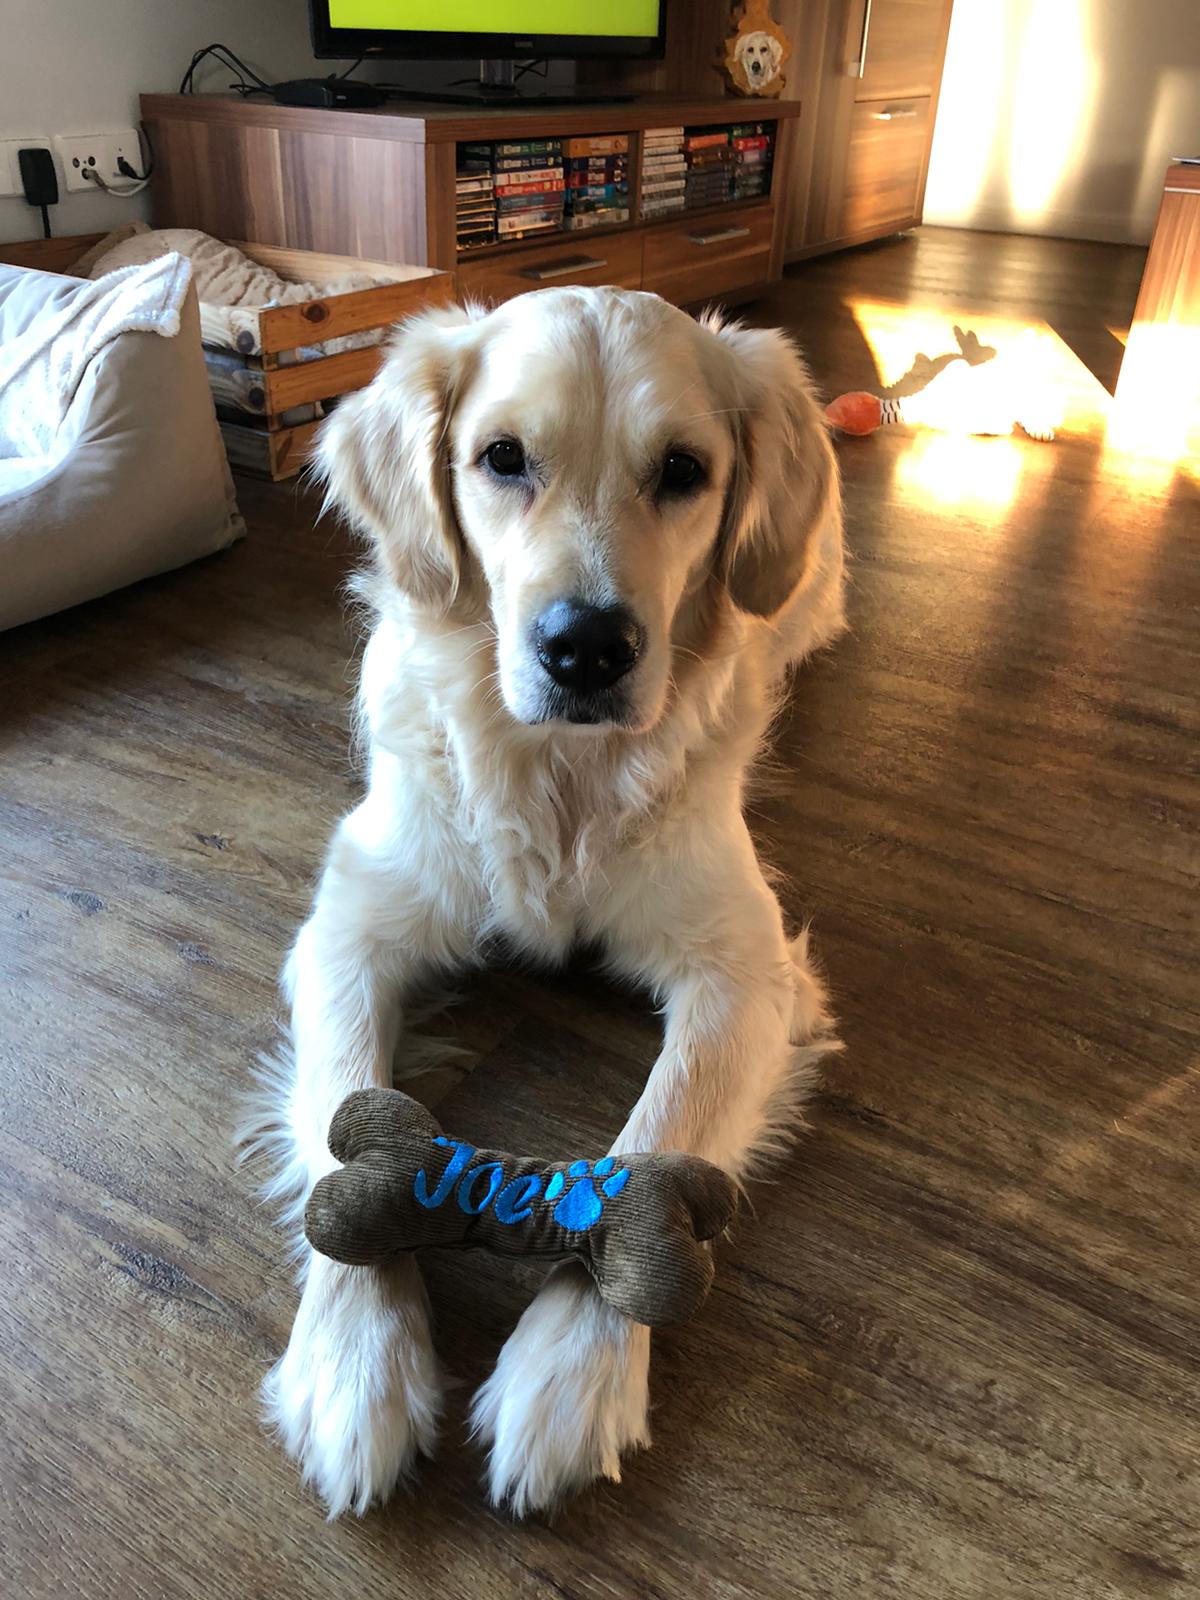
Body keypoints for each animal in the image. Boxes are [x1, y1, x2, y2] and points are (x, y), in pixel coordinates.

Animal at [246, 285, 845, 1518]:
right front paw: (352, 1364)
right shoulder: (350, 926)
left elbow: (656, 1139)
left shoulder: (747, 972)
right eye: (503, 458)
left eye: (683, 469)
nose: (587, 649)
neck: (562, 780)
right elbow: (343, 1118)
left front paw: (571, 1373)